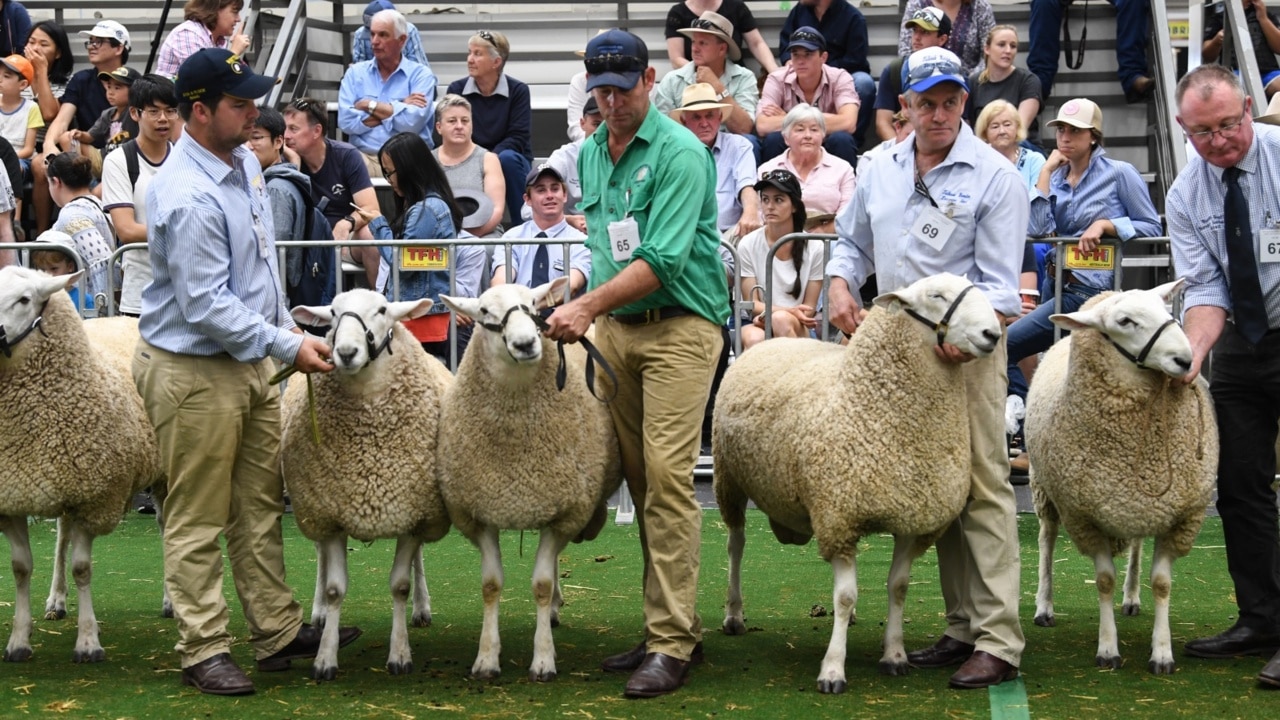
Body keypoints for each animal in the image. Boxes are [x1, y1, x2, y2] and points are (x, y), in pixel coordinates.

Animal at [0, 265, 165, 661]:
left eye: (24, 299)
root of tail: (122, 317)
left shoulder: (95, 499)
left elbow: (82, 568)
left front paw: (88, 642)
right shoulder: (14, 496)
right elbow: (20, 568)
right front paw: (19, 640)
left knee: (168, 528)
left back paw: (171, 600)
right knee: (61, 534)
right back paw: (56, 601)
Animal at [282, 286, 458, 676]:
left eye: (381, 310)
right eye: (333, 313)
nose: (346, 352)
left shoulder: (412, 512)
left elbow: (400, 585)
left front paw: (400, 654)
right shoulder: (330, 514)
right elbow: (335, 589)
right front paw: (325, 657)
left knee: (419, 560)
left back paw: (422, 608)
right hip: (313, 510)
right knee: (319, 558)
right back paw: (317, 614)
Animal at [437, 278, 622, 681]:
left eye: (535, 304)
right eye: (483, 312)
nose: (525, 344)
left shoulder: (564, 512)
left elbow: (540, 584)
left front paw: (543, 660)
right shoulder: (480, 513)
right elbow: (491, 585)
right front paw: (486, 658)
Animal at [716, 270, 1003, 691]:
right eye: (935, 295)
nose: (992, 334)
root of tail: (770, 338)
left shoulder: (909, 521)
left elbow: (897, 588)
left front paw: (895, 654)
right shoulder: (840, 517)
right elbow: (846, 596)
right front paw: (833, 669)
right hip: (729, 481)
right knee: (736, 545)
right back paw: (734, 614)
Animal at [1024, 278, 1213, 671]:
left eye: (1166, 309)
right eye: (1125, 321)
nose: (1186, 360)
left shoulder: (1179, 515)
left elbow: (1162, 584)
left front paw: (1162, 652)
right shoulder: (1084, 517)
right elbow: (1103, 581)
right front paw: (1108, 648)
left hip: (1137, 505)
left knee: (1137, 546)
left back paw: (1132, 598)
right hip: (1043, 489)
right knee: (1047, 541)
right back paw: (1044, 606)